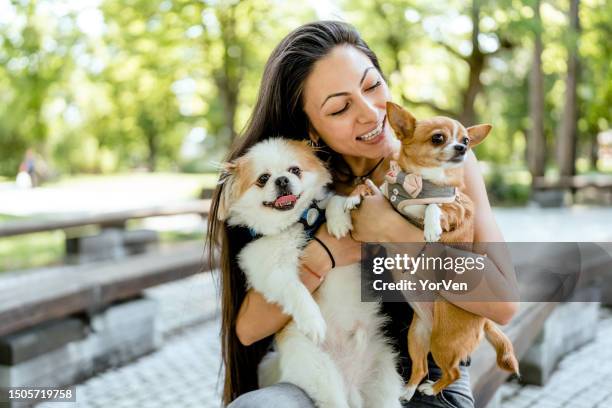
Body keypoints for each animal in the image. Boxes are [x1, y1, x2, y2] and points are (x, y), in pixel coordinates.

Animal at [218, 138, 404, 408]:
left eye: (295, 170)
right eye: (263, 178)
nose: (282, 180)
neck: (299, 223)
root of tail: (351, 383)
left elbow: (334, 200)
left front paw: (338, 222)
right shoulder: (269, 271)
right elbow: (295, 290)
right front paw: (312, 320)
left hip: (383, 378)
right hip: (321, 372)